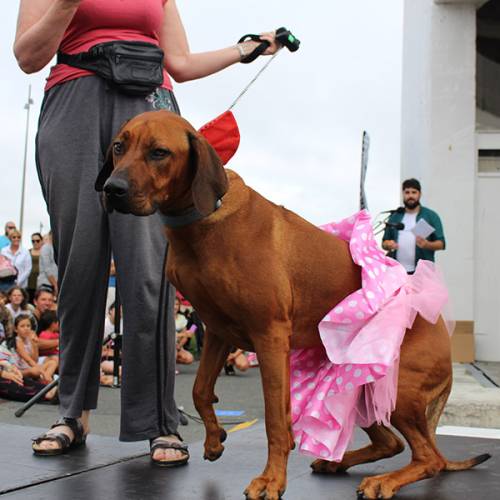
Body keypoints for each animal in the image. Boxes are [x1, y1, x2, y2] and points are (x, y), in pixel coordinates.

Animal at [96, 111, 488, 498]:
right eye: (118, 146)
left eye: (159, 152)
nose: (112, 189)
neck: (202, 219)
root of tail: (443, 334)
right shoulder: (219, 331)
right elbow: (200, 391)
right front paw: (214, 439)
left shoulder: (270, 337)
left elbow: (274, 420)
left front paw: (271, 480)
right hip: (359, 389)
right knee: (393, 443)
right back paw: (336, 463)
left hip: (400, 389)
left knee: (431, 458)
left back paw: (383, 481)